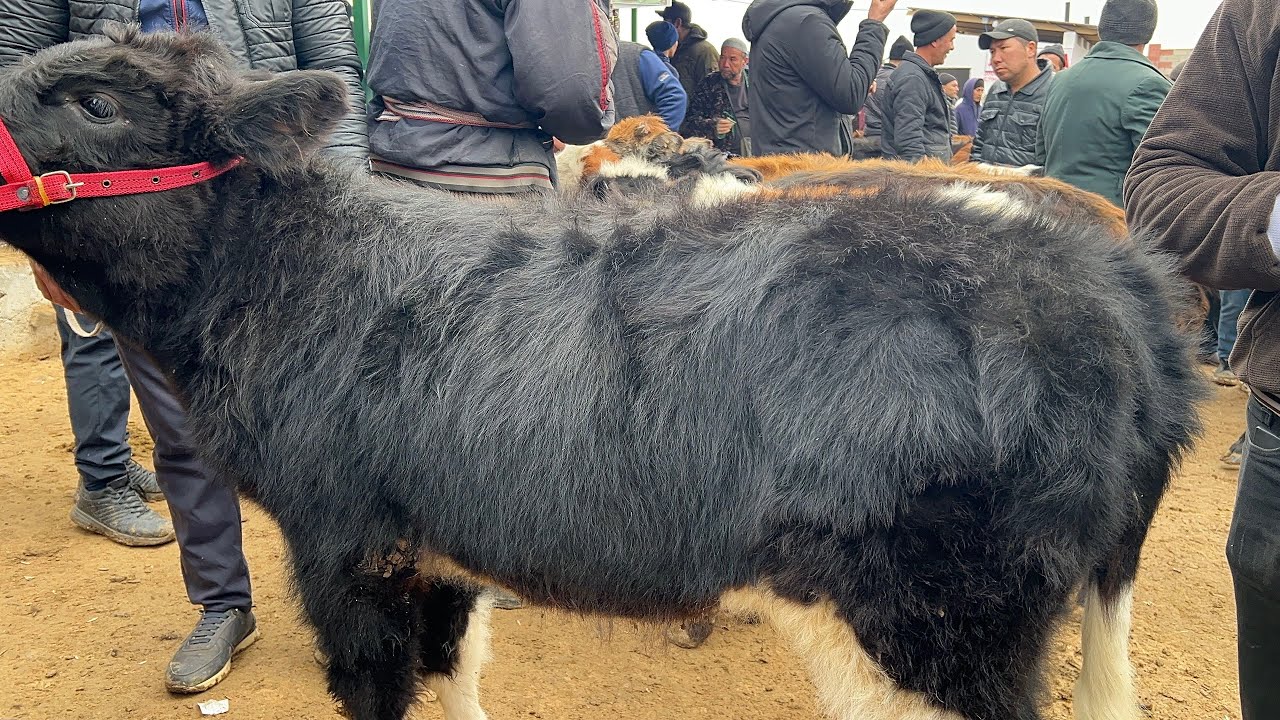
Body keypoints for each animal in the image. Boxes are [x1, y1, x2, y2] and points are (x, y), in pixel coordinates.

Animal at [0, 29, 1203, 720]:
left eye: (98, 104)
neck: (301, 273)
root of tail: (1105, 273)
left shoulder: (346, 544)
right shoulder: (440, 541)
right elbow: (457, 684)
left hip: (933, 625)